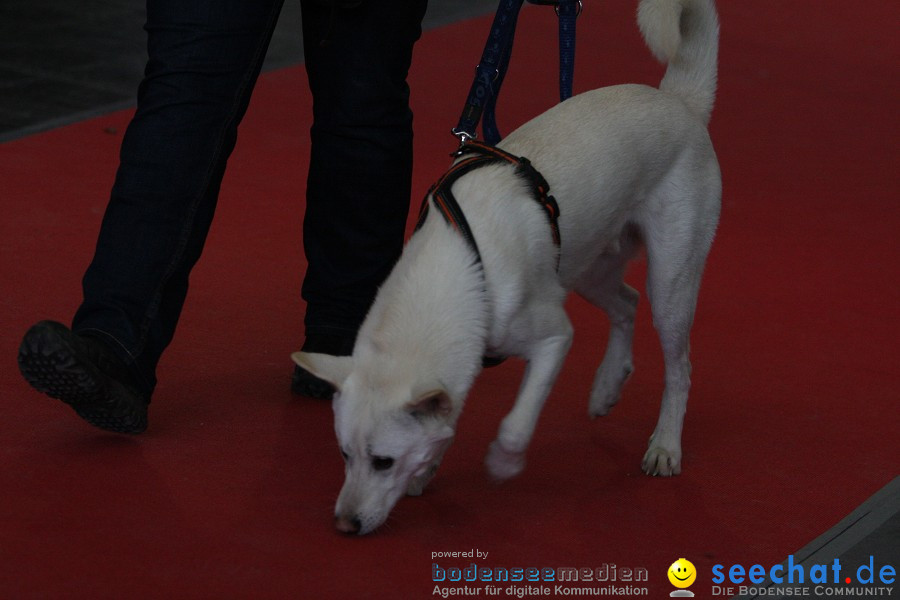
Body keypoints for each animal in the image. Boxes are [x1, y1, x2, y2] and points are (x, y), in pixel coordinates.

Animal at [296, 0, 724, 536]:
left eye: (383, 462)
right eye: (343, 454)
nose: (345, 525)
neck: (462, 265)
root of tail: (679, 100)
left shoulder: (554, 337)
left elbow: (518, 422)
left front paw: (502, 461)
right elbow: (447, 416)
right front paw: (431, 466)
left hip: (671, 280)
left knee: (679, 366)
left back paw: (665, 445)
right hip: (585, 266)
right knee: (626, 302)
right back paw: (606, 387)